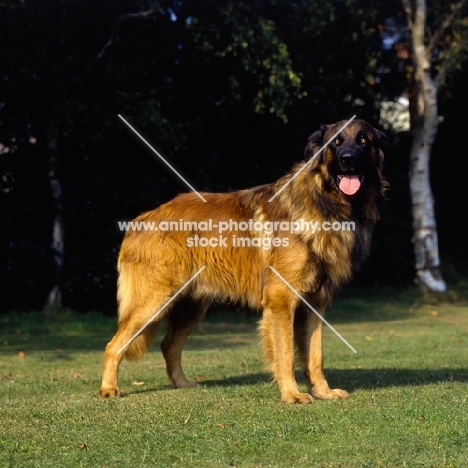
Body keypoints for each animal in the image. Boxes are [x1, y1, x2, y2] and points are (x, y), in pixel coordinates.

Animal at [100, 119, 390, 404]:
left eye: (363, 140)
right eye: (336, 142)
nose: (348, 160)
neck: (326, 203)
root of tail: (141, 219)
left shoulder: (314, 305)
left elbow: (315, 356)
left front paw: (323, 392)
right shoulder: (281, 300)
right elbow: (285, 353)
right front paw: (292, 394)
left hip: (190, 307)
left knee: (168, 344)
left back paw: (181, 384)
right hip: (155, 300)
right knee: (114, 345)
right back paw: (109, 389)